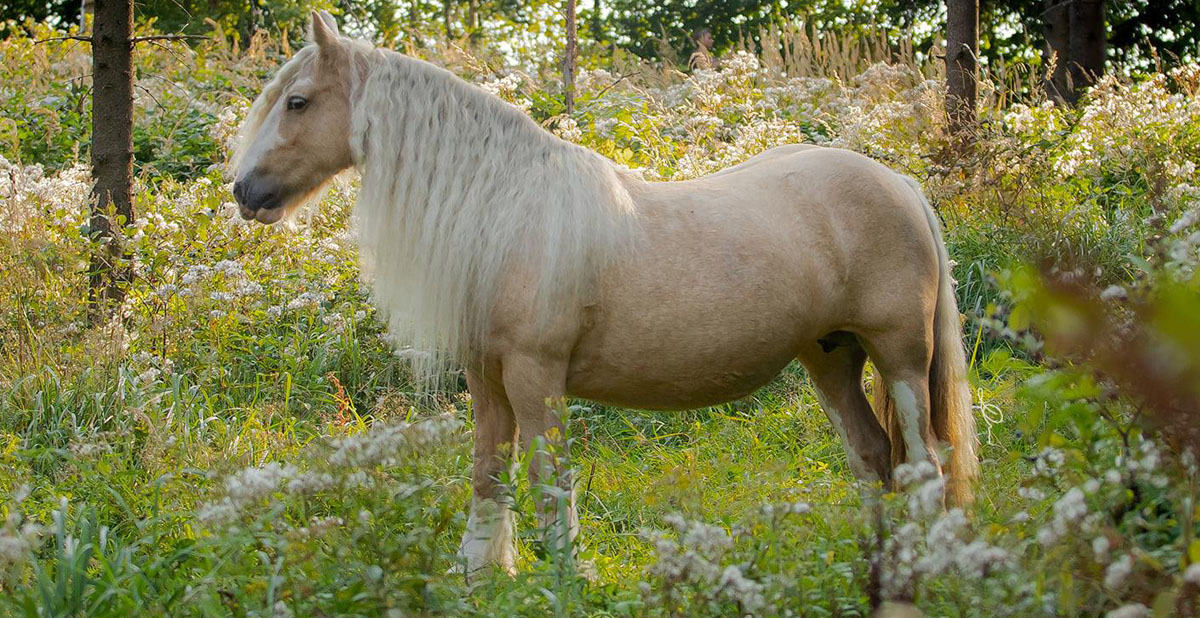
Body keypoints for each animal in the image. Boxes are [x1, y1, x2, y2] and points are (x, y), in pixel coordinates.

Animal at [231, 12, 974, 578]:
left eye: (297, 101)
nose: (244, 192)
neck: (506, 211)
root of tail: (900, 186)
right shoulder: (488, 381)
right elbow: (487, 474)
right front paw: (478, 575)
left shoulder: (534, 377)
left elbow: (549, 484)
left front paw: (563, 579)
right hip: (830, 358)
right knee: (872, 457)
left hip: (901, 358)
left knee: (923, 465)